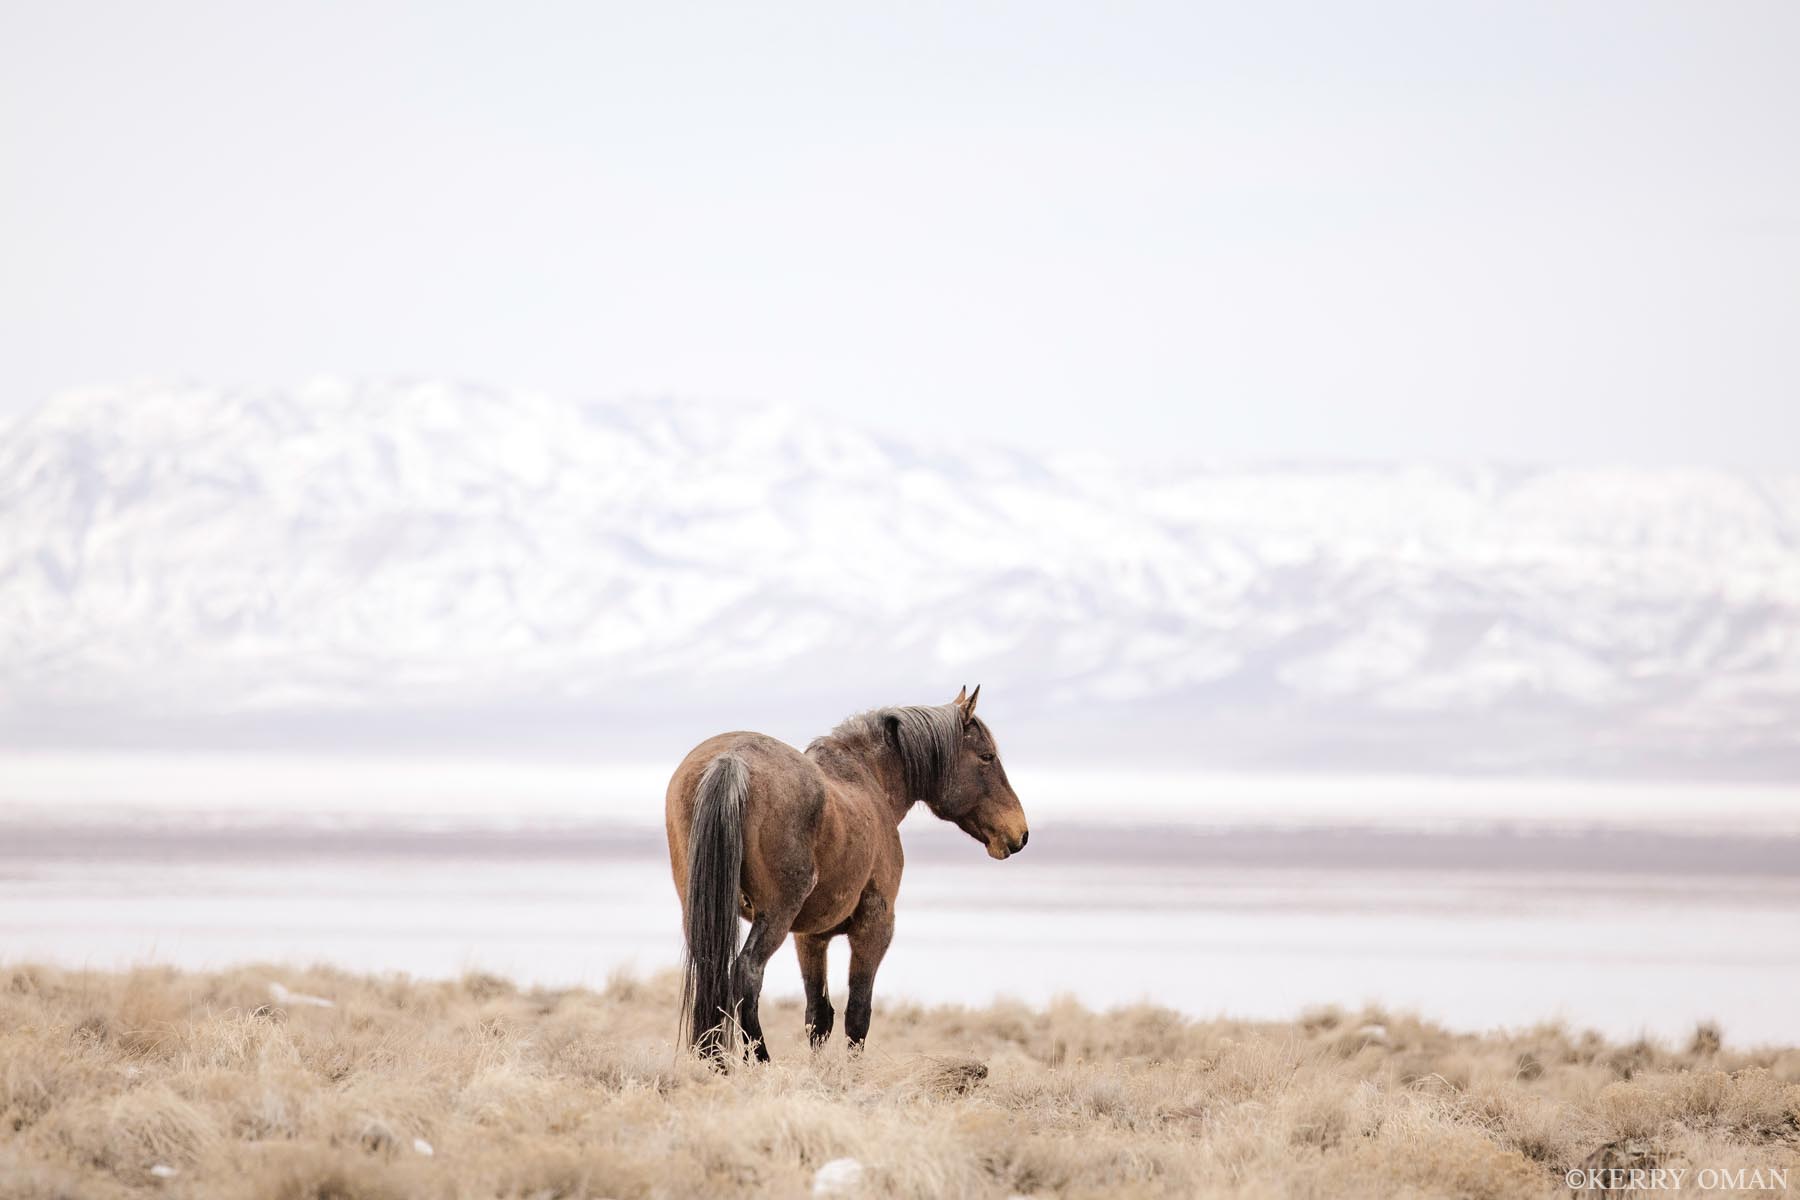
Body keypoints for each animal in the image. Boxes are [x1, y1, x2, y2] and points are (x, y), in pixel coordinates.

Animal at [664, 685, 1028, 1060]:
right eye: (986, 756)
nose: (1020, 833)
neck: (868, 778)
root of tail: (731, 760)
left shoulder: (810, 937)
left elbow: (818, 1015)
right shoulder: (875, 927)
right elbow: (857, 1014)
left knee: (710, 969)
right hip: (776, 915)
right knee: (747, 972)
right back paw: (760, 1059)